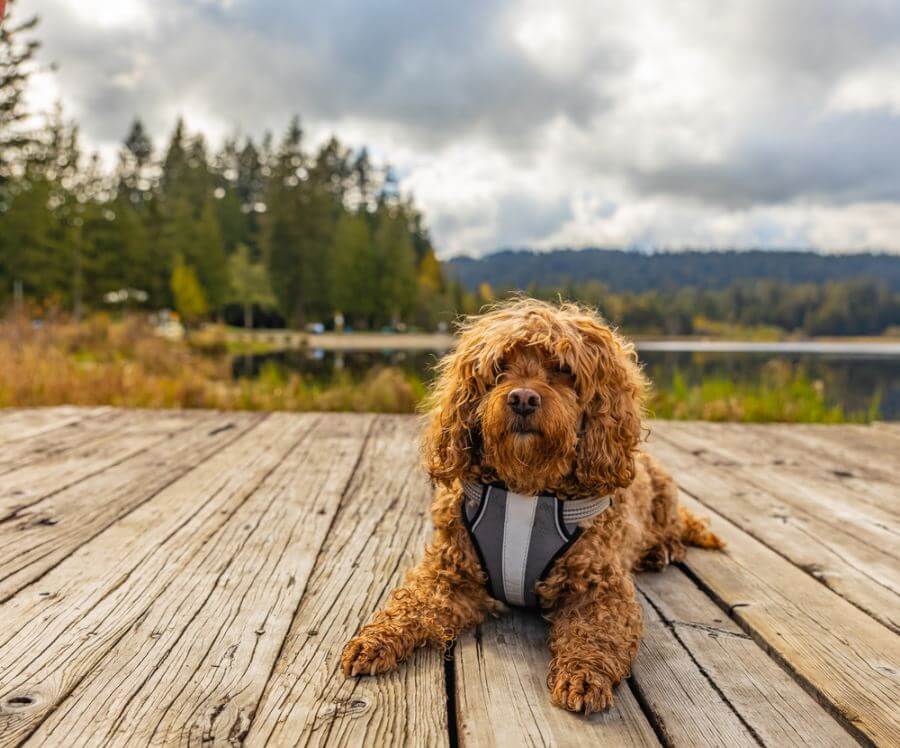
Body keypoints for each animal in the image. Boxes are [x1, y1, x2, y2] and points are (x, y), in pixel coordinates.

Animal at [340, 296, 724, 712]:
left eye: (562, 369)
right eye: (499, 368)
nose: (522, 398)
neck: (527, 491)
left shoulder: (600, 588)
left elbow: (596, 632)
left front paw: (583, 674)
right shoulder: (450, 574)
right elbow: (412, 603)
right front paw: (376, 638)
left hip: (663, 491)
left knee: (673, 528)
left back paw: (661, 550)